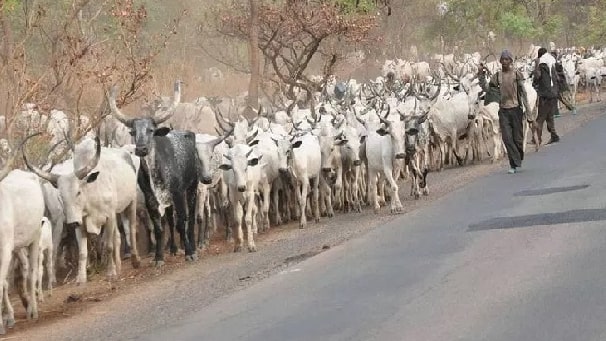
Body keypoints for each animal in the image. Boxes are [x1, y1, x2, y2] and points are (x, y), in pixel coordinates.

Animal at [108, 80, 201, 266]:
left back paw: (192, 247)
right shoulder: (151, 199)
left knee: (190, 219)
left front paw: (189, 252)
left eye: (151, 130)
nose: (141, 149)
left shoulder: (178, 193)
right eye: (133, 132)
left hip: (192, 187)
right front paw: (159, 257)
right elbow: (159, 228)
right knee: (170, 221)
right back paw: (173, 249)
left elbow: (182, 222)